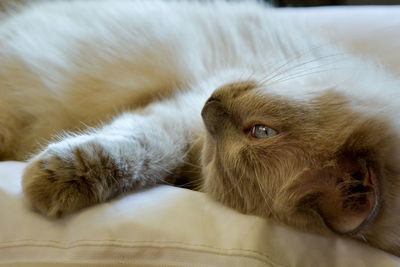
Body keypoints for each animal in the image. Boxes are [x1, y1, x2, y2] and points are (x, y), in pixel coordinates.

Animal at [0, 0, 400, 258]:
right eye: (264, 132)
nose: (208, 108)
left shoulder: (178, 129)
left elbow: (141, 152)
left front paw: (47, 182)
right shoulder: (181, 107)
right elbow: (137, 144)